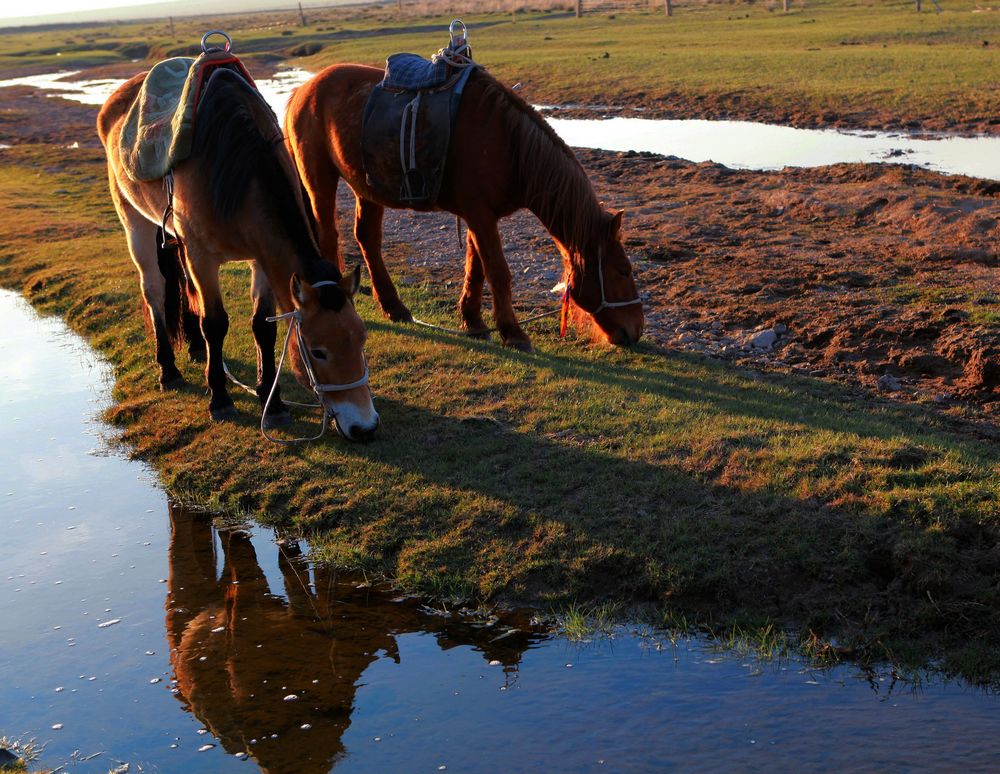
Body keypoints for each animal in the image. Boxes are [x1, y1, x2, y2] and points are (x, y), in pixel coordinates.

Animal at [97, 63, 378, 440]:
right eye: (318, 351)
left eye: (361, 339)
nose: (366, 428)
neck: (240, 171)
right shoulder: (202, 257)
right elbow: (215, 323)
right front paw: (220, 399)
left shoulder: (263, 258)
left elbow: (263, 326)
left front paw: (272, 401)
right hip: (135, 222)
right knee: (154, 290)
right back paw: (168, 369)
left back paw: (196, 350)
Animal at [284, 63, 640, 352]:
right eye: (623, 270)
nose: (636, 332)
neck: (508, 144)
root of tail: (304, 89)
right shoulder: (480, 215)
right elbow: (498, 272)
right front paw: (513, 333)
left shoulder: (479, 216)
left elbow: (477, 268)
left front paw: (474, 321)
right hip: (320, 181)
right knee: (329, 236)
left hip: (367, 188)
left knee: (367, 238)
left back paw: (393, 306)